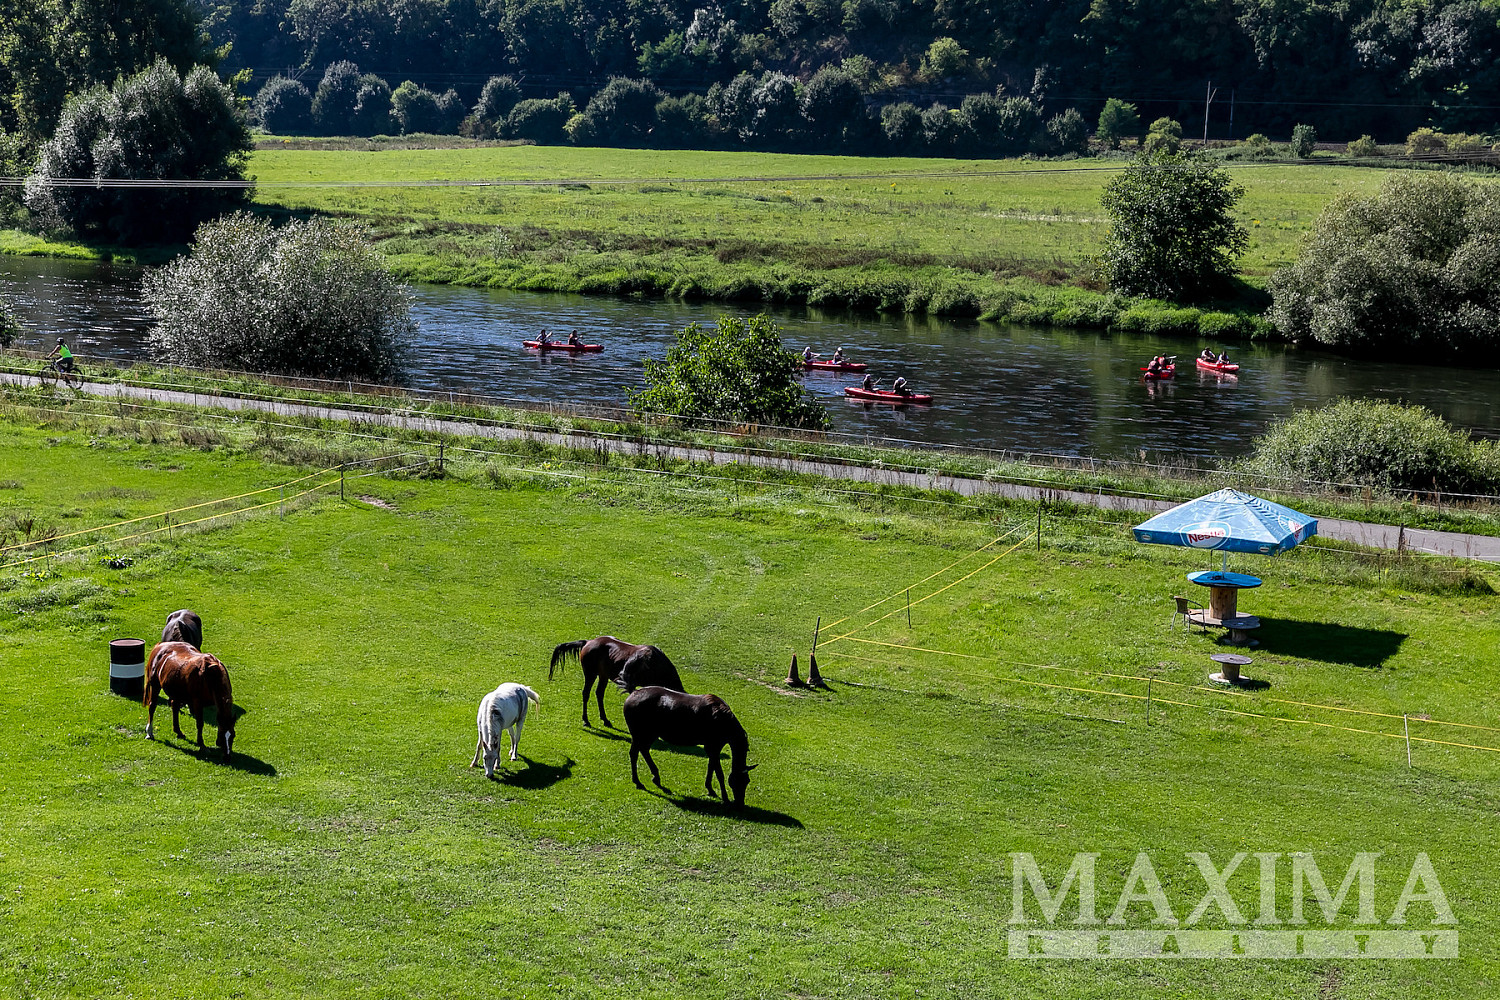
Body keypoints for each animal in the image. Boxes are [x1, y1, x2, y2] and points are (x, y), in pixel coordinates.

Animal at [552, 638, 687, 731]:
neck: (656, 664)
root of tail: (588, 642)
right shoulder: (631, 682)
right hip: (590, 674)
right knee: (586, 693)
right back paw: (586, 720)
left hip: (603, 676)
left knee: (599, 693)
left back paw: (605, 720)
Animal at [624, 689, 756, 803]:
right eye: (737, 781)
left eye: (747, 781)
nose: (740, 803)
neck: (723, 720)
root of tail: (630, 697)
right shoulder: (712, 747)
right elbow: (719, 773)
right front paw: (725, 797)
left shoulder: (714, 748)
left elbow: (711, 767)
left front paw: (710, 789)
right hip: (639, 735)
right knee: (634, 754)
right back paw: (638, 782)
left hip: (651, 734)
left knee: (644, 750)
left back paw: (656, 777)